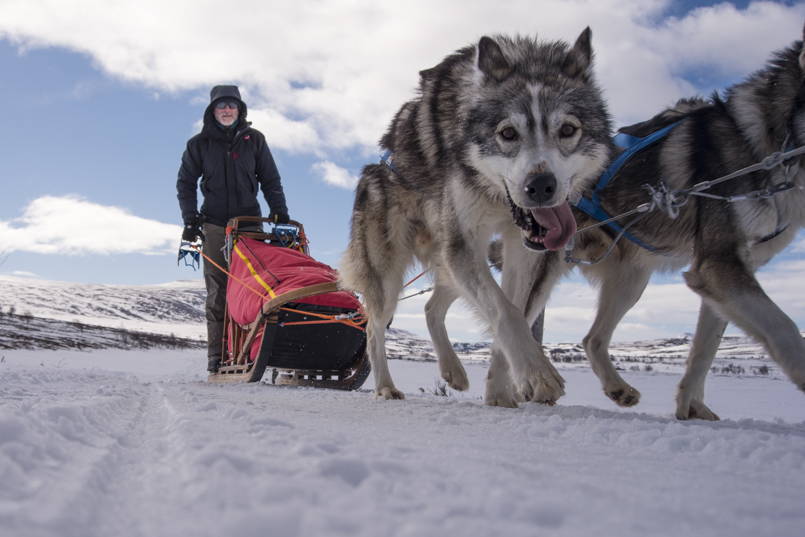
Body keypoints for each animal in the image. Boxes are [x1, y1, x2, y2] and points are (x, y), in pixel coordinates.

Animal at [340, 29, 608, 404]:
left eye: (568, 130)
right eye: (507, 133)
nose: (541, 186)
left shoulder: (519, 250)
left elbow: (513, 311)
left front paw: (500, 391)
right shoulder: (465, 243)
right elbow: (504, 311)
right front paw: (538, 374)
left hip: (449, 261)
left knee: (431, 308)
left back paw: (453, 369)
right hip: (389, 275)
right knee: (373, 328)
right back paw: (385, 386)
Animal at [486, 28, 804, 418]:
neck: (770, 141)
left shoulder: (720, 275)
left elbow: (704, 350)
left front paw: (691, 409)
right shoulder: (720, 266)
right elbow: (784, 329)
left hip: (632, 276)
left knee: (591, 338)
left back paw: (616, 388)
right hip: (542, 273)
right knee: (509, 325)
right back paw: (505, 393)